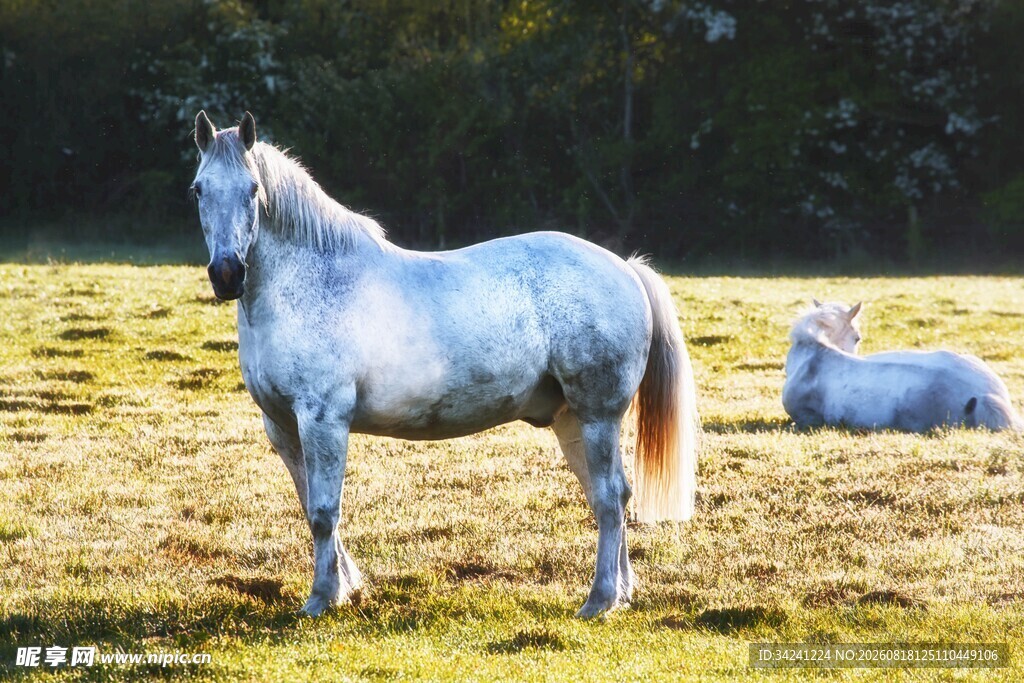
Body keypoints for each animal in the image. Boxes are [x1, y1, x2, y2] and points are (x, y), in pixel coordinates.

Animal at [188, 111, 700, 619]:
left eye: (253, 188)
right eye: (198, 189)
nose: (227, 273)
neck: (311, 282)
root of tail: (625, 267)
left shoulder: (322, 420)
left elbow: (323, 513)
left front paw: (321, 598)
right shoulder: (282, 425)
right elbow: (309, 504)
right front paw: (346, 587)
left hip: (597, 416)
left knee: (611, 499)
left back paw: (599, 599)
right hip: (571, 419)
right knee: (609, 493)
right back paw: (622, 593)